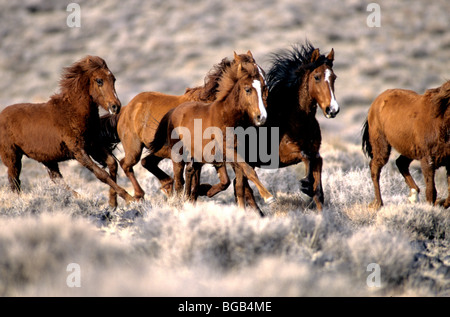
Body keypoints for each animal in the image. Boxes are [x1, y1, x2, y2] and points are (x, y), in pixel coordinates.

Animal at [0, 55, 135, 205]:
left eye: (114, 79)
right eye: (99, 80)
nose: (115, 106)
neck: (72, 113)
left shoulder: (94, 145)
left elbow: (112, 164)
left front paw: (113, 202)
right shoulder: (79, 152)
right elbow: (101, 174)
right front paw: (130, 198)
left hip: (47, 159)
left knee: (56, 179)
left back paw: (79, 197)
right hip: (13, 157)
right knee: (14, 180)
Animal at [149, 51, 274, 207]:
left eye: (263, 87)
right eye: (248, 89)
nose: (261, 117)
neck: (227, 116)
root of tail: (174, 111)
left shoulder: (231, 155)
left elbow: (238, 184)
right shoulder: (228, 151)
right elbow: (248, 171)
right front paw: (268, 197)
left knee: (189, 172)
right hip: (178, 154)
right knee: (178, 181)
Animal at [362, 80, 450, 209]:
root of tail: (376, 102)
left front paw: (440, 203)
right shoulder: (428, 161)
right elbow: (431, 191)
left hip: (409, 149)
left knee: (400, 162)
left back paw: (413, 195)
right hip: (382, 146)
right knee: (375, 168)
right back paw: (378, 203)